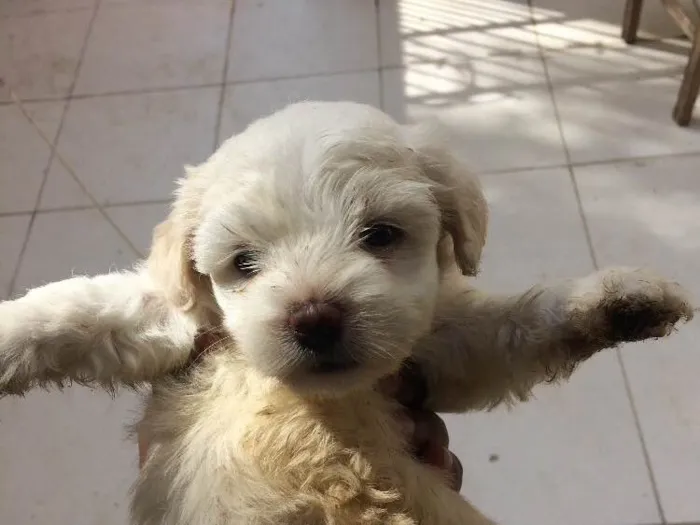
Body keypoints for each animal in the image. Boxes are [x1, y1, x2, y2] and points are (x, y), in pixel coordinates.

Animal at [0, 101, 692, 524]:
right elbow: (79, 311)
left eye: (380, 234)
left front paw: (625, 300)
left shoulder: (440, 349)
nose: (313, 317)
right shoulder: (177, 327)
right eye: (243, 263)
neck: (320, 404)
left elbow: (517, 325)